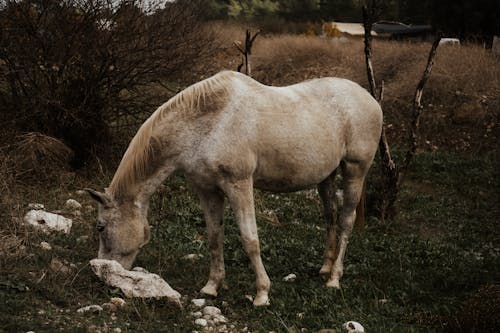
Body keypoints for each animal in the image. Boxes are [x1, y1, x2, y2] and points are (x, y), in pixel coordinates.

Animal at [87, 71, 382, 304]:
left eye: (101, 227)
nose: (102, 273)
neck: (208, 123)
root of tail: (371, 99)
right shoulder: (207, 190)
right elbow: (214, 238)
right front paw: (212, 287)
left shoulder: (239, 184)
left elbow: (250, 239)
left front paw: (262, 293)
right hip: (326, 177)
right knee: (330, 216)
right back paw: (324, 267)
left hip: (355, 169)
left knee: (345, 221)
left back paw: (334, 279)